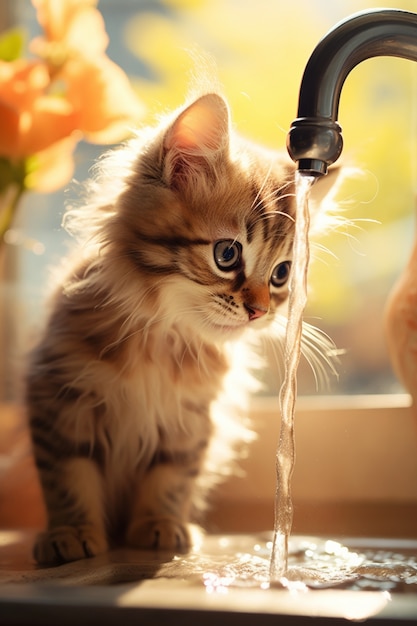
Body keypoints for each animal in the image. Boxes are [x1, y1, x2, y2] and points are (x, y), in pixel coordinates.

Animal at [25, 90, 332, 564]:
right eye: (227, 254)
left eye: (283, 274)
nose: (260, 310)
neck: (163, 337)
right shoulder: (60, 399)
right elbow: (68, 478)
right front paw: (71, 533)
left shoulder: (190, 423)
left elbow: (170, 480)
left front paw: (161, 526)